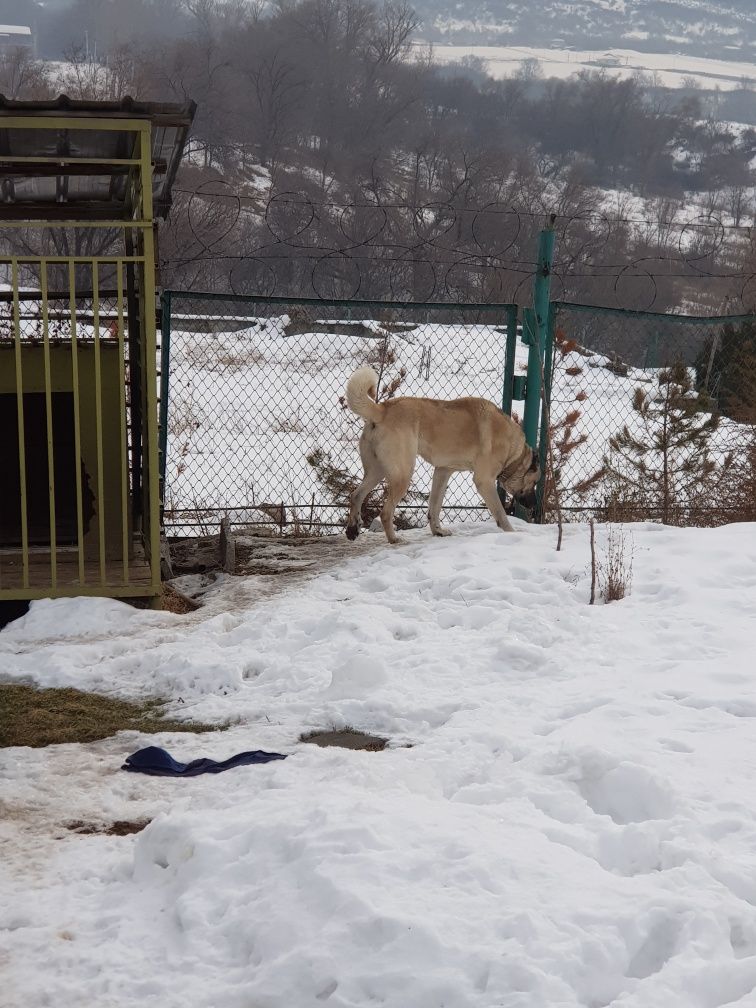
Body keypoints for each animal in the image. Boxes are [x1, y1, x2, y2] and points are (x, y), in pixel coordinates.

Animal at [342, 366, 540, 544]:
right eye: (535, 482)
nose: (534, 505)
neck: (514, 454)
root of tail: (382, 409)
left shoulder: (442, 472)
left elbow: (434, 507)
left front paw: (437, 531)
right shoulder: (484, 481)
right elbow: (501, 513)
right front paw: (513, 534)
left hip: (377, 471)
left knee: (356, 495)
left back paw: (352, 529)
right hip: (403, 475)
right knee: (385, 512)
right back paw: (394, 539)